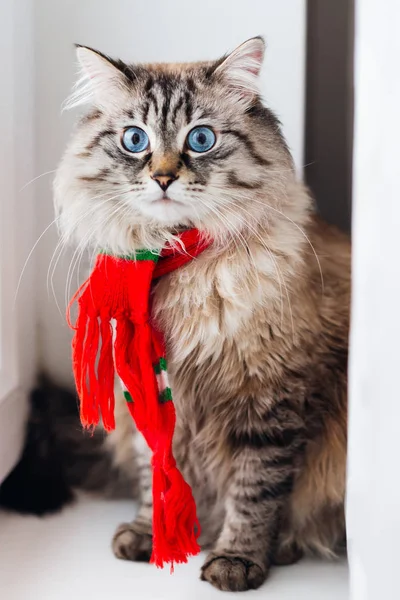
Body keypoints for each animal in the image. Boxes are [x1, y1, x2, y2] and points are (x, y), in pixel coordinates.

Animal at [54, 38, 350, 596]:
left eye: (201, 138)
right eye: (134, 140)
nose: (164, 177)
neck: (178, 267)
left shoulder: (272, 400)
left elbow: (255, 493)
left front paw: (236, 560)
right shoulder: (146, 398)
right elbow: (156, 477)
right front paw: (151, 536)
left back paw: (285, 547)